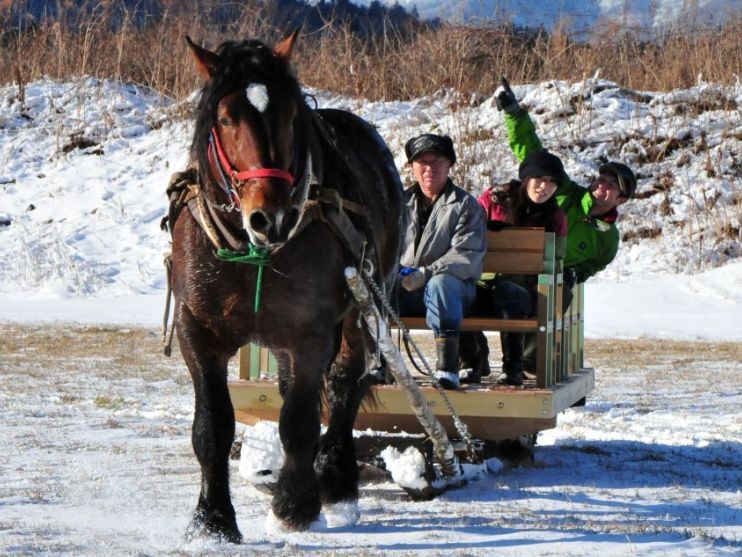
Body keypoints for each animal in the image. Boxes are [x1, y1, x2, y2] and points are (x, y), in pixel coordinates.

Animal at [166, 30, 404, 540]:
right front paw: (213, 519)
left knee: (344, 383)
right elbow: (213, 426)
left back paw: (335, 477)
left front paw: (295, 506)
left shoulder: (310, 332)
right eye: (226, 118)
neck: (252, 250)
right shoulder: (197, 330)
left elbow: (298, 420)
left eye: (291, 116)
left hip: (363, 305)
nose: (270, 216)